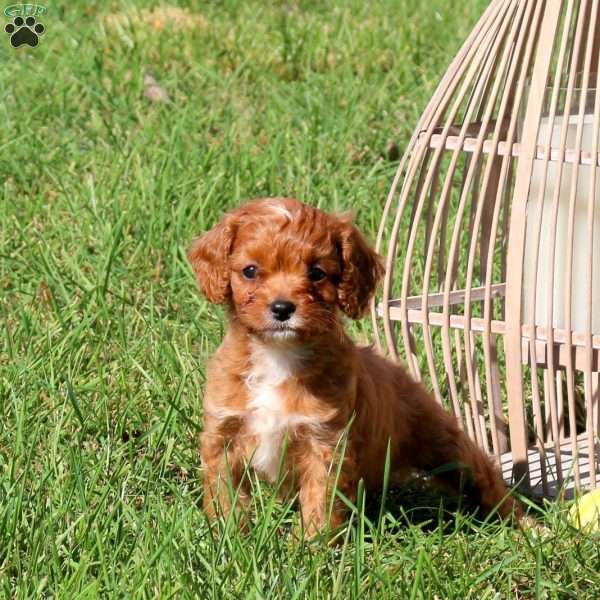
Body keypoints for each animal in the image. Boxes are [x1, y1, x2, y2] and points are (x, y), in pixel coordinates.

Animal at [189, 197, 520, 536]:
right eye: (250, 270)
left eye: (317, 273)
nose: (282, 308)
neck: (278, 355)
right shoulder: (224, 434)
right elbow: (224, 490)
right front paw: (227, 534)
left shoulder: (325, 442)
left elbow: (319, 499)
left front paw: (311, 543)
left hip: (445, 445)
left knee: (486, 479)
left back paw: (525, 526)